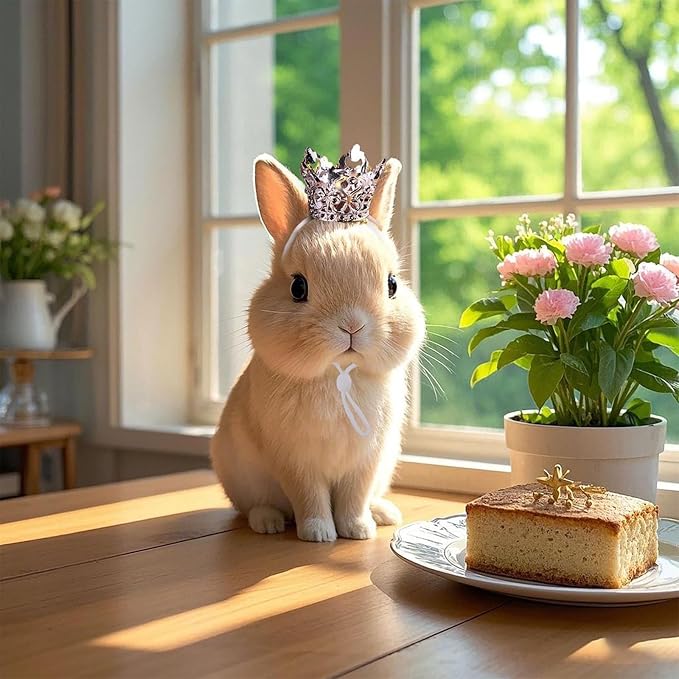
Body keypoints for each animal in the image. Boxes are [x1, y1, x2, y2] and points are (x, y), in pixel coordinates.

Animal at [210, 151, 425, 542]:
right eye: (298, 288)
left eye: (391, 285)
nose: (352, 325)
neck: (339, 375)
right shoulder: (295, 462)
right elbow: (309, 497)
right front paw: (319, 534)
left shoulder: (366, 462)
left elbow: (354, 497)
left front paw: (358, 531)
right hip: (241, 479)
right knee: (253, 508)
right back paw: (269, 523)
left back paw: (383, 513)